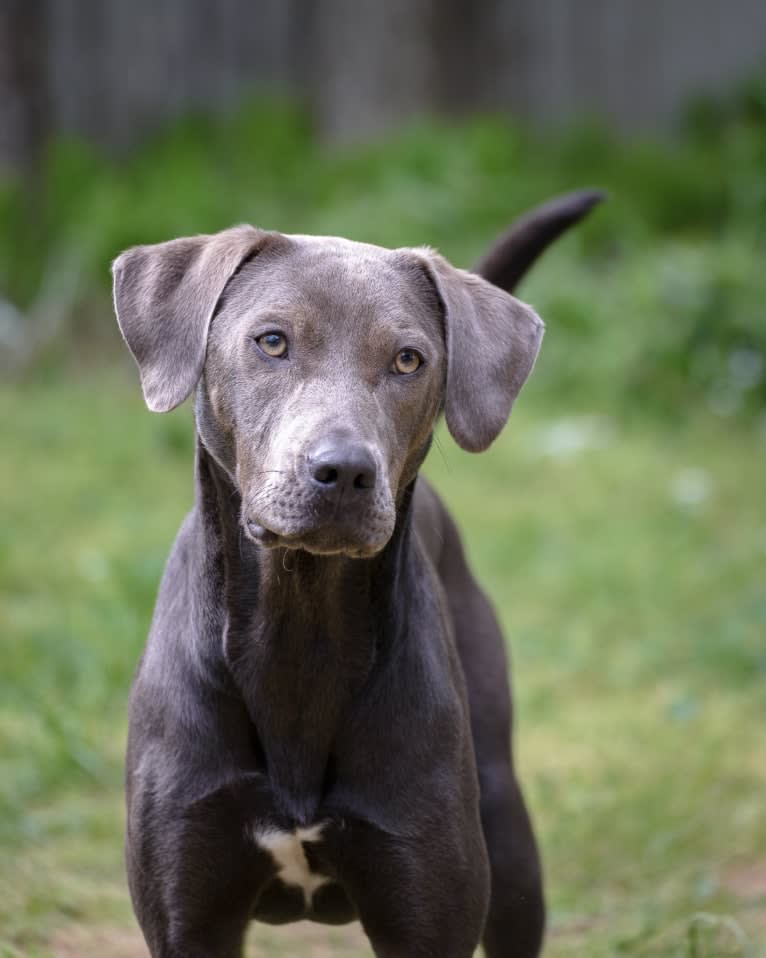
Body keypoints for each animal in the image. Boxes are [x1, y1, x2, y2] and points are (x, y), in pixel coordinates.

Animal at [112, 191, 608, 956]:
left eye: (409, 359)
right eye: (272, 341)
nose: (344, 471)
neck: (300, 633)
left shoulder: (426, 908)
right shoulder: (188, 914)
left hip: (508, 834)